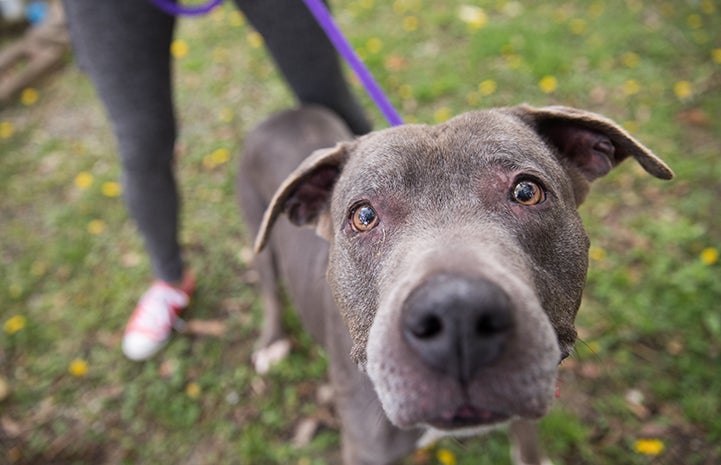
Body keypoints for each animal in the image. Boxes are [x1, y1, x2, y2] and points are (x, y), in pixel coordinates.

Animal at [239, 105, 672, 464]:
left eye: (527, 191)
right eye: (363, 216)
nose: (458, 314)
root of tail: (282, 115)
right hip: (259, 239)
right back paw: (272, 343)